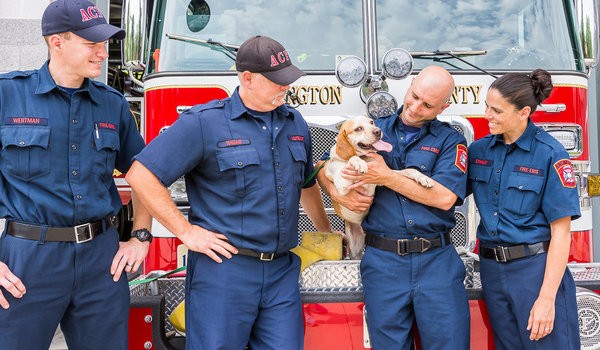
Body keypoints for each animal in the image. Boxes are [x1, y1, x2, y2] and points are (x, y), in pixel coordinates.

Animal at [324, 116, 432, 258]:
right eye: (358, 128)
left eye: (371, 122)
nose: (378, 131)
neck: (365, 157)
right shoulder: (342, 186)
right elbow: (352, 158)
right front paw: (359, 163)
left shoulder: (384, 175)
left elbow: (409, 171)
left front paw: (423, 178)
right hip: (355, 249)